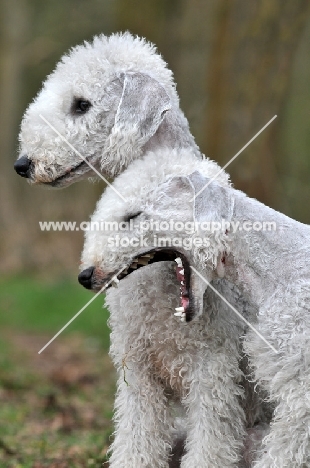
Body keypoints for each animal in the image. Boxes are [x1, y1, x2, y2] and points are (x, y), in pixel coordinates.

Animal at [15, 33, 270, 468]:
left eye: (81, 104)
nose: (22, 163)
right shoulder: (137, 371)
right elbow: (137, 442)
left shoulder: (213, 377)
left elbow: (210, 447)